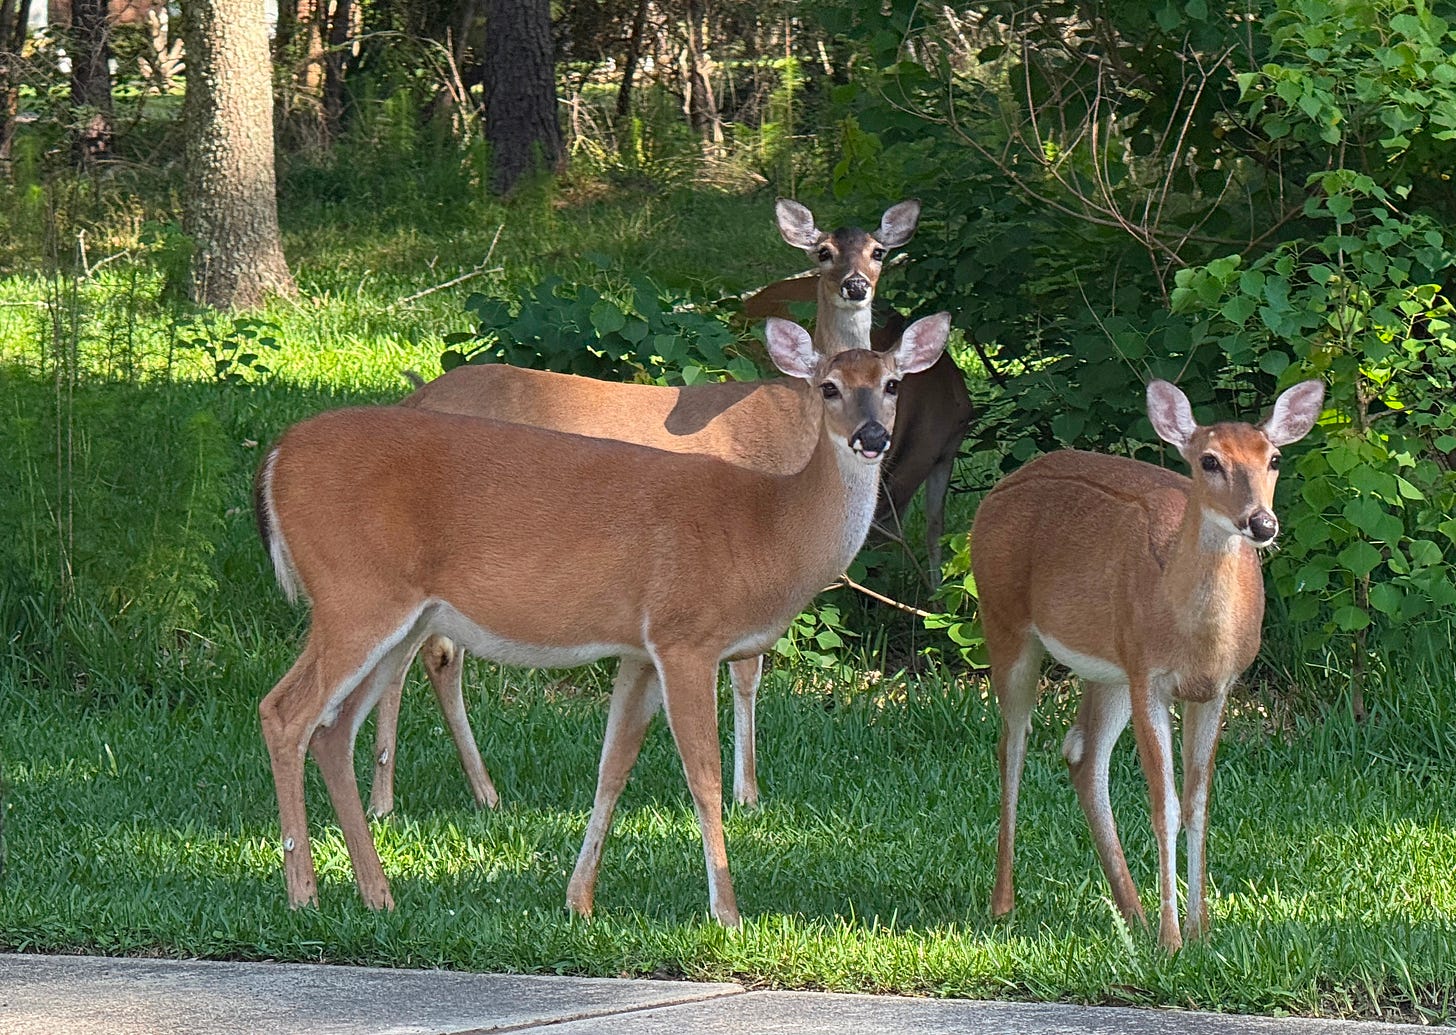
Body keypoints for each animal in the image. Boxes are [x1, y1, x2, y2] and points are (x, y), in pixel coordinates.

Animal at [254, 313, 951, 923]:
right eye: (828, 387)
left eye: (892, 384)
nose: (872, 437)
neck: (766, 529)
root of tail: (275, 456)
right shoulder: (684, 635)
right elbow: (702, 777)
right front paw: (727, 913)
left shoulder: (638, 649)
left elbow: (611, 770)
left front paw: (578, 901)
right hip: (355, 595)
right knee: (284, 711)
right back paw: (302, 894)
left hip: (399, 616)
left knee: (332, 729)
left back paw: (378, 896)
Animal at [363, 200, 926, 821]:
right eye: (822, 251)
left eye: (879, 251)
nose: (854, 285)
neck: (795, 423)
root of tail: (415, 398)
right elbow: (747, 672)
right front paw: (748, 794)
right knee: (417, 657)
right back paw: (387, 801)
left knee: (432, 654)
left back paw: (480, 793)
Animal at [970, 377, 1324, 951]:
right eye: (1209, 460)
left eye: (1273, 458)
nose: (1261, 523)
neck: (1194, 637)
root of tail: (997, 490)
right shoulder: (1150, 677)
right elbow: (1166, 806)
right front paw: (1172, 939)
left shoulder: (1217, 688)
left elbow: (1199, 803)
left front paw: (1201, 931)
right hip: (1004, 621)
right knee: (1013, 746)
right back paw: (1004, 903)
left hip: (1108, 667)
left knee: (1082, 753)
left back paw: (1130, 909)